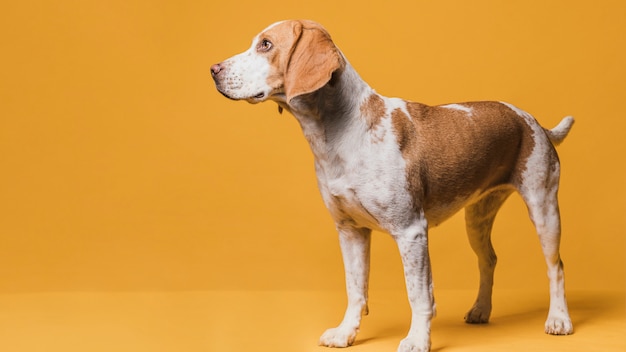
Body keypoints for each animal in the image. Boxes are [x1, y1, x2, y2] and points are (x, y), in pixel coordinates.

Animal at [210, 20, 572, 352]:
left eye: (266, 45)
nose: (213, 69)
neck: (341, 134)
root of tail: (533, 122)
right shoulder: (350, 231)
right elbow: (355, 289)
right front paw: (346, 333)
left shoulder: (411, 231)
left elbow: (419, 294)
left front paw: (418, 340)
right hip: (477, 220)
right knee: (489, 260)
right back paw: (481, 310)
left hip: (544, 211)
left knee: (556, 267)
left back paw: (558, 320)